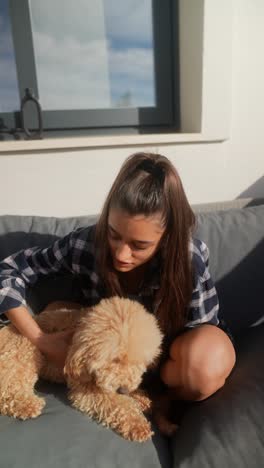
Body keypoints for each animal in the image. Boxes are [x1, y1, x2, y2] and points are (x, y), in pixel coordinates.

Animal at [0, 296, 163, 442]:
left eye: (140, 362)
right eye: (114, 359)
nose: (122, 390)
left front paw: (140, 396)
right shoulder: (85, 386)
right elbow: (117, 403)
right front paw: (137, 424)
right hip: (23, 353)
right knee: (7, 389)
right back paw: (27, 404)